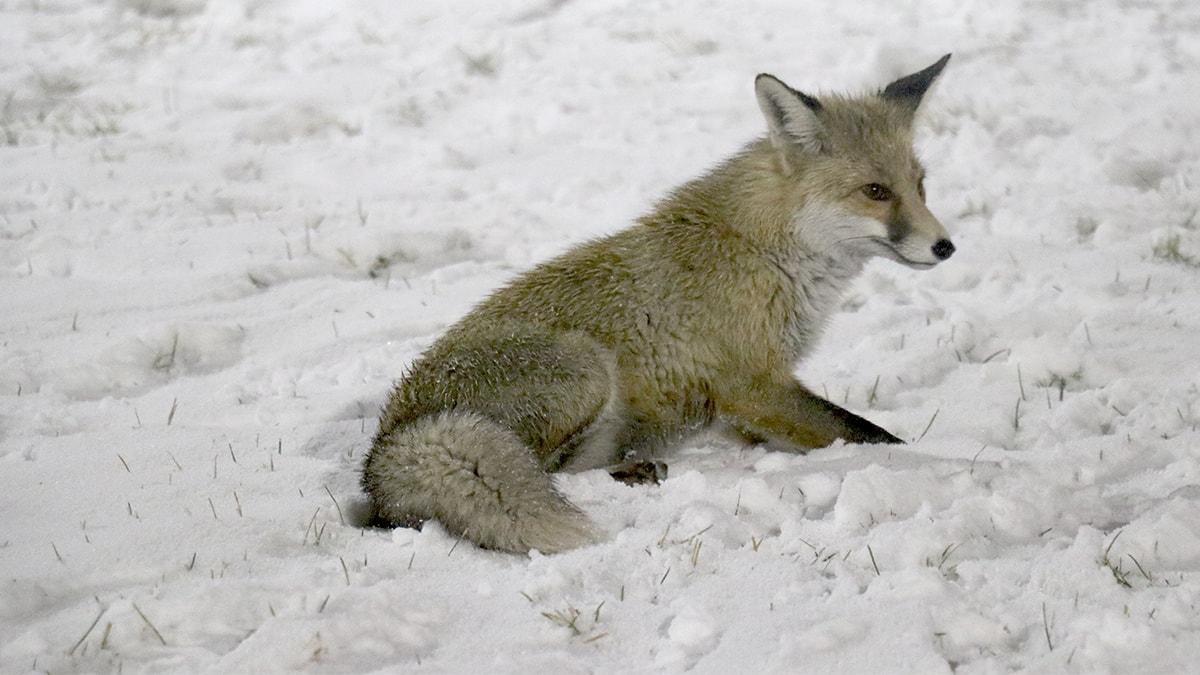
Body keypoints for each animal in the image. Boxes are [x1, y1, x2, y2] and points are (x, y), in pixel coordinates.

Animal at [362, 55, 955, 552]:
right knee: (544, 470)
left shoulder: (750, 405)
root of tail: (384, 450)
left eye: (921, 185)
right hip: (586, 369)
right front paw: (944, 462)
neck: (766, 252)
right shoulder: (753, 385)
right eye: (875, 192)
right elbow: (876, 436)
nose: (945, 247)